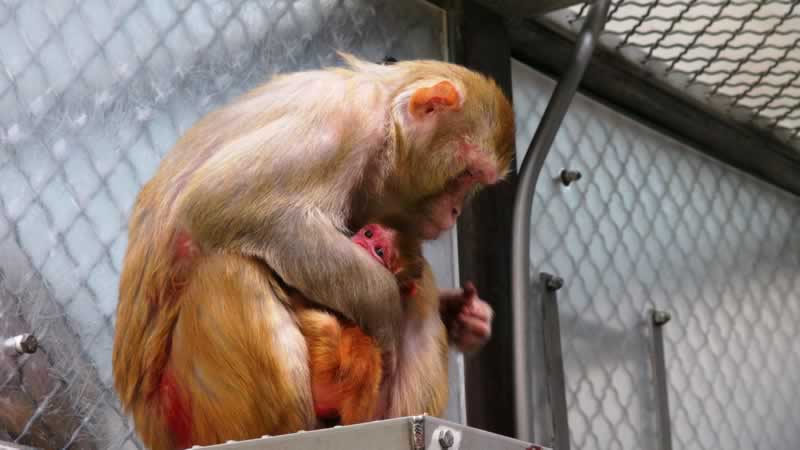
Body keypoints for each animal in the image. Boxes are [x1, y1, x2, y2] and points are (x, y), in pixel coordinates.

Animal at [112, 53, 514, 450]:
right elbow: (221, 203)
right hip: (186, 412)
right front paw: (384, 310)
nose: (456, 211)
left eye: (476, 181)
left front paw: (466, 316)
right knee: (233, 271)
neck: (386, 117)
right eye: (466, 175)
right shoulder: (342, 128)